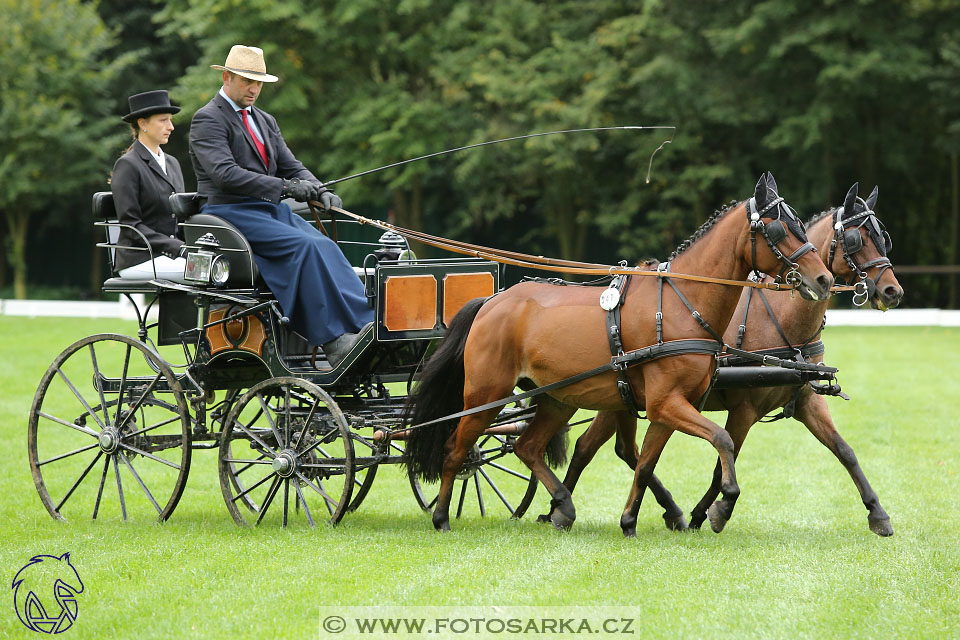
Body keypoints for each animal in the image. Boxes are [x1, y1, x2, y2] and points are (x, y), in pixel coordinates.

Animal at [404, 172, 832, 532]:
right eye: (779, 228)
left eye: (800, 224)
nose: (824, 279)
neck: (680, 304)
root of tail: (492, 302)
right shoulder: (666, 403)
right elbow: (721, 440)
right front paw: (721, 507)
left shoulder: (666, 408)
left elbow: (644, 463)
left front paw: (631, 521)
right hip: (485, 395)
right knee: (456, 448)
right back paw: (442, 516)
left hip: (558, 399)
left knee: (528, 446)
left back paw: (562, 505)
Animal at [552, 184, 904, 536]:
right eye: (857, 238)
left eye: (884, 237)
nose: (893, 291)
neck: (780, 320)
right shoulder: (744, 409)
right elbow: (722, 462)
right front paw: (714, 511)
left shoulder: (806, 401)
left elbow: (845, 451)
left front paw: (877, 513)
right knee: (595, 448)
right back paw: (560, 508)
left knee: (613, 449)